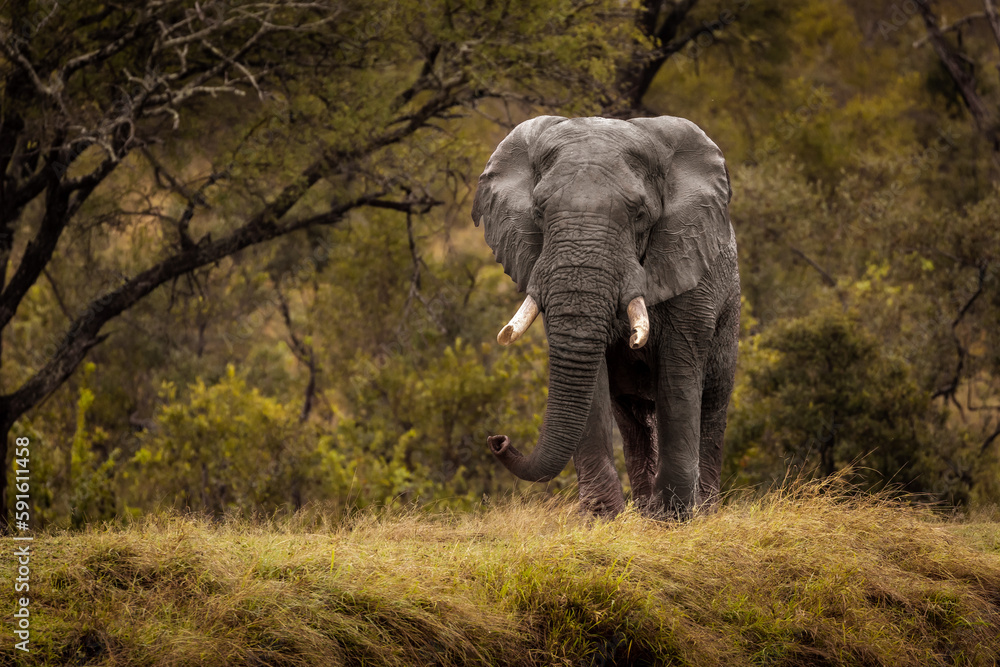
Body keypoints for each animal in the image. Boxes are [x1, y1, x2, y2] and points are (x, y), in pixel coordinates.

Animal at [471, 115, 740, 518]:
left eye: (639, 214)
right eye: (539, 213)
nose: (497, 439)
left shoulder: (688, 262)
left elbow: (678, 375)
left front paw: (673, 518)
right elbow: (590, 379)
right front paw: (601, 517)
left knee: (711, 404)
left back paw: (702, 510)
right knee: (632, 420)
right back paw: (644, 509)